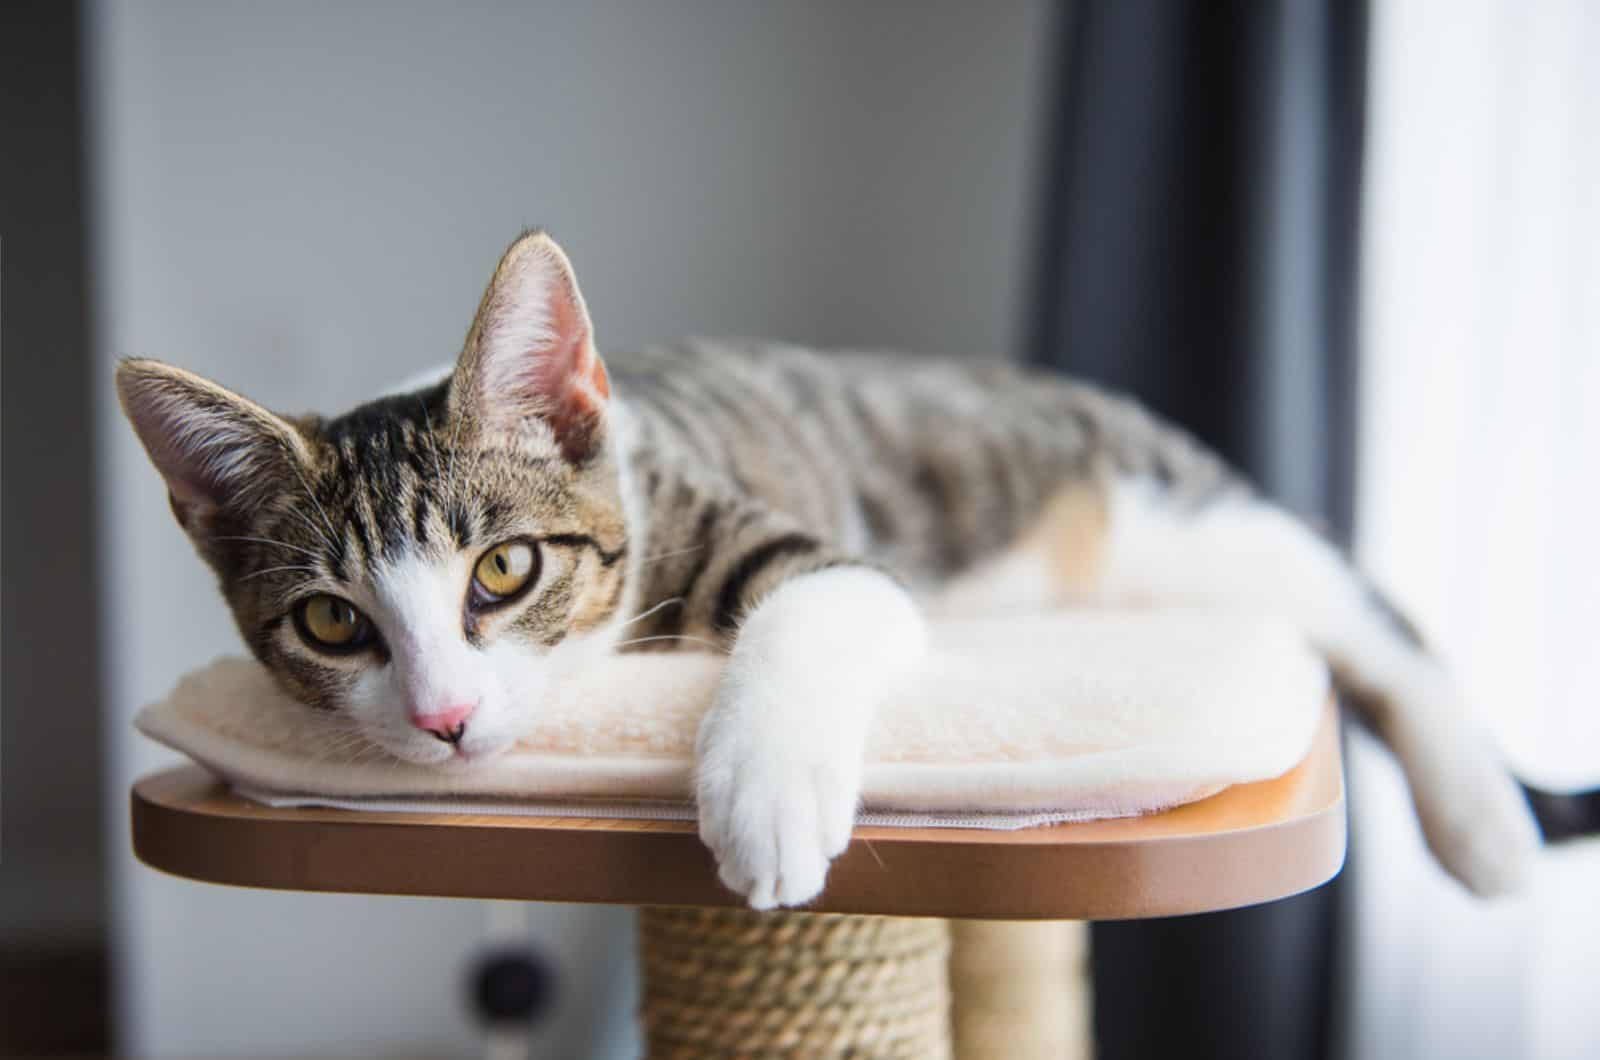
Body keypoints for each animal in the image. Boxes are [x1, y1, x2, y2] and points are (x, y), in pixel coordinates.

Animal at [116, 228, 1536, 909]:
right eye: (332, 623)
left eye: (504, 569)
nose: (446, 719)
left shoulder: (790, 538)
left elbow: (819, 604)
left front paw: (765, 793)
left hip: (1167, 520)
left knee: (1365, 615)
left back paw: (1482, 823)